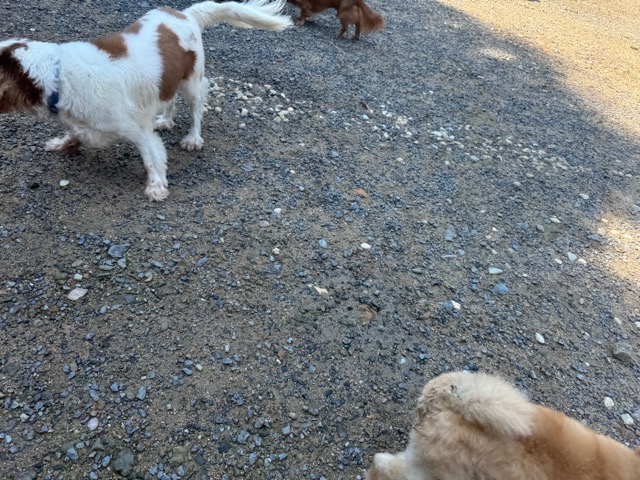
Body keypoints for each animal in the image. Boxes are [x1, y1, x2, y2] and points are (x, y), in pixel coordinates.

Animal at [0, 0, 291, 201]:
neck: (59, 77)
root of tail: (186, 13)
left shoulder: (138, 130)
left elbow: (151, 157)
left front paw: (156, 187)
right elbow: (74, 133)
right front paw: (63, 144)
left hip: (193, 83)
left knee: (196, 112)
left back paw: (193, 138)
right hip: (169, 80)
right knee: (169, 99)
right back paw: (166, 119)